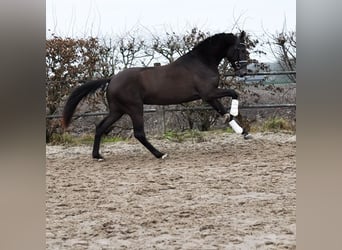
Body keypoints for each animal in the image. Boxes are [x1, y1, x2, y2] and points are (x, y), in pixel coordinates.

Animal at [62, 31, 248, 160]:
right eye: (240, 49)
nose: (244, 72)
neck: (202, 62)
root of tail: (112, 78)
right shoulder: (208, 94)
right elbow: (234, 93)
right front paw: (236, 116)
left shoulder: (209, 96)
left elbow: (223, 112)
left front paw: (243, 132)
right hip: (135, 108)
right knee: (139, 133)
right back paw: (160, 154)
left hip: (117, 110)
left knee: (100, 127)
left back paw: (97, 156)